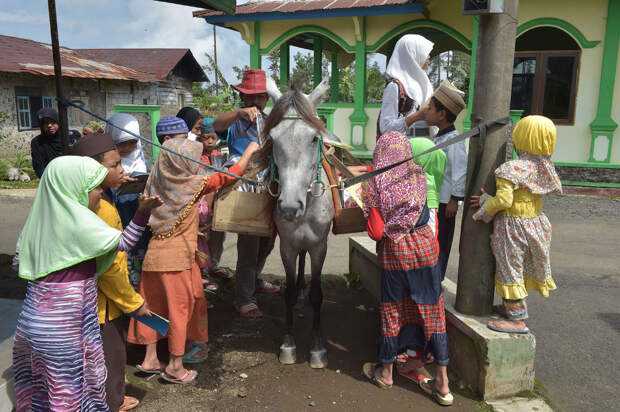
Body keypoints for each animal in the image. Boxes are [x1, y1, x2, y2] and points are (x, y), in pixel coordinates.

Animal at [262, 78, 340, 370]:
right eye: (273, 138)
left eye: (314, 138)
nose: (289, 207)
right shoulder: (287, 246)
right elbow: (288, 290)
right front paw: (288, 344)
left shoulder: (319, 246)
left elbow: (318, 294)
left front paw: (317, 348)